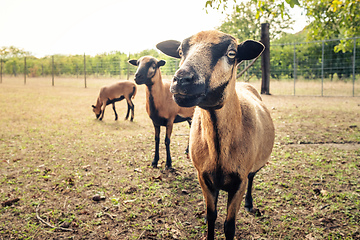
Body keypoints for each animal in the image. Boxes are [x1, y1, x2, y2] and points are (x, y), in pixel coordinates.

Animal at [158, 30, 276, 240]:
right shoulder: (203, 177)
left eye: (232, 53)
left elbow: (229, 225)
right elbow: (212, 215)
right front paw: (208, 220)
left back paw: (249, 204)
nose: (181, 79)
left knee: (252, 178)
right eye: (180, 51)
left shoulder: (239, 182)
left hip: (253, 167)